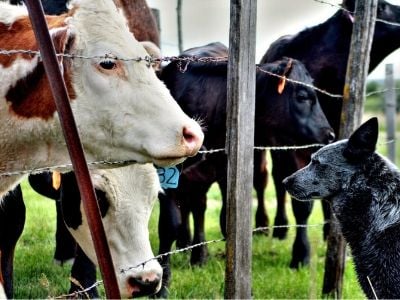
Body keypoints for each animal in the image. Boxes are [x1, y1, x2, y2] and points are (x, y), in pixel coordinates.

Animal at [156, 42, 334, 298]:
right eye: (302, 96)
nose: (329, 134)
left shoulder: (222, 173)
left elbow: (224, 219)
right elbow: (169, 225)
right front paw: (162, 285)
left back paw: (199, 256)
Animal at [260, 0, 400, 268]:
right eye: (382, 8)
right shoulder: (292, 145)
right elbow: (301, 203)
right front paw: (301, 254)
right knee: (271, 180)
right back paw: (275, 227)